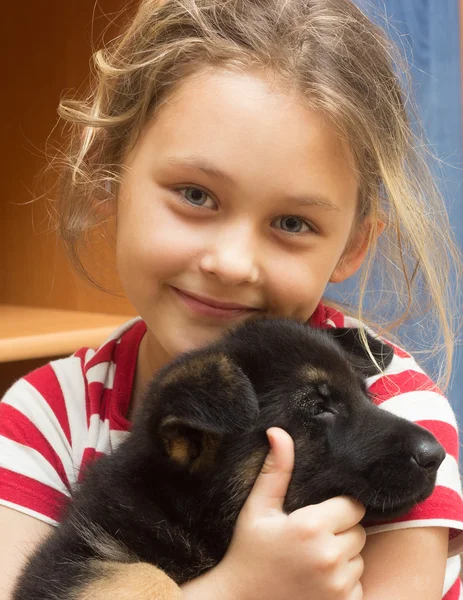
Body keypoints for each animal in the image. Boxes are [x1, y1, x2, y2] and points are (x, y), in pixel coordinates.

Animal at [13, 316, 446, 596]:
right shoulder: (65, 563)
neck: (185, 511)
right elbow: (149, 577)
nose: (437, 455)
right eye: (317, 407)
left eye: (365, 395)